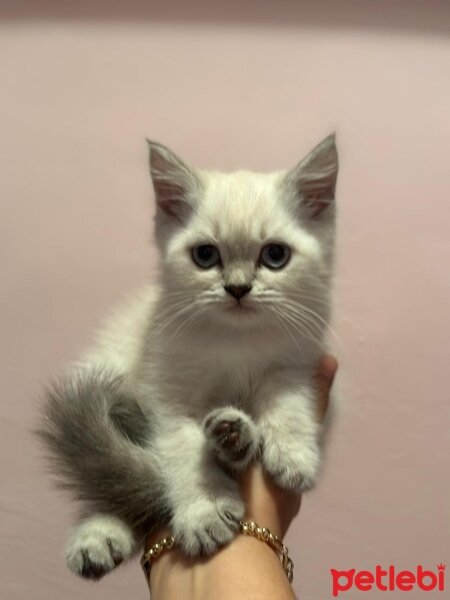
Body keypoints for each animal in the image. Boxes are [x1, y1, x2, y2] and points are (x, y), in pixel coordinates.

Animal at [37, 134, 338, 580]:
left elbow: (285, 401)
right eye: (205, 256)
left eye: (275, 255)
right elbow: (180, 450)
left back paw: (235, 437)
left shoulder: (298, 362)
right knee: (107, 476)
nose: (237, 288)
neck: (234, 342)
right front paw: (204, 512)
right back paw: (97, 536)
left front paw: (292, 454)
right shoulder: (165, 394)